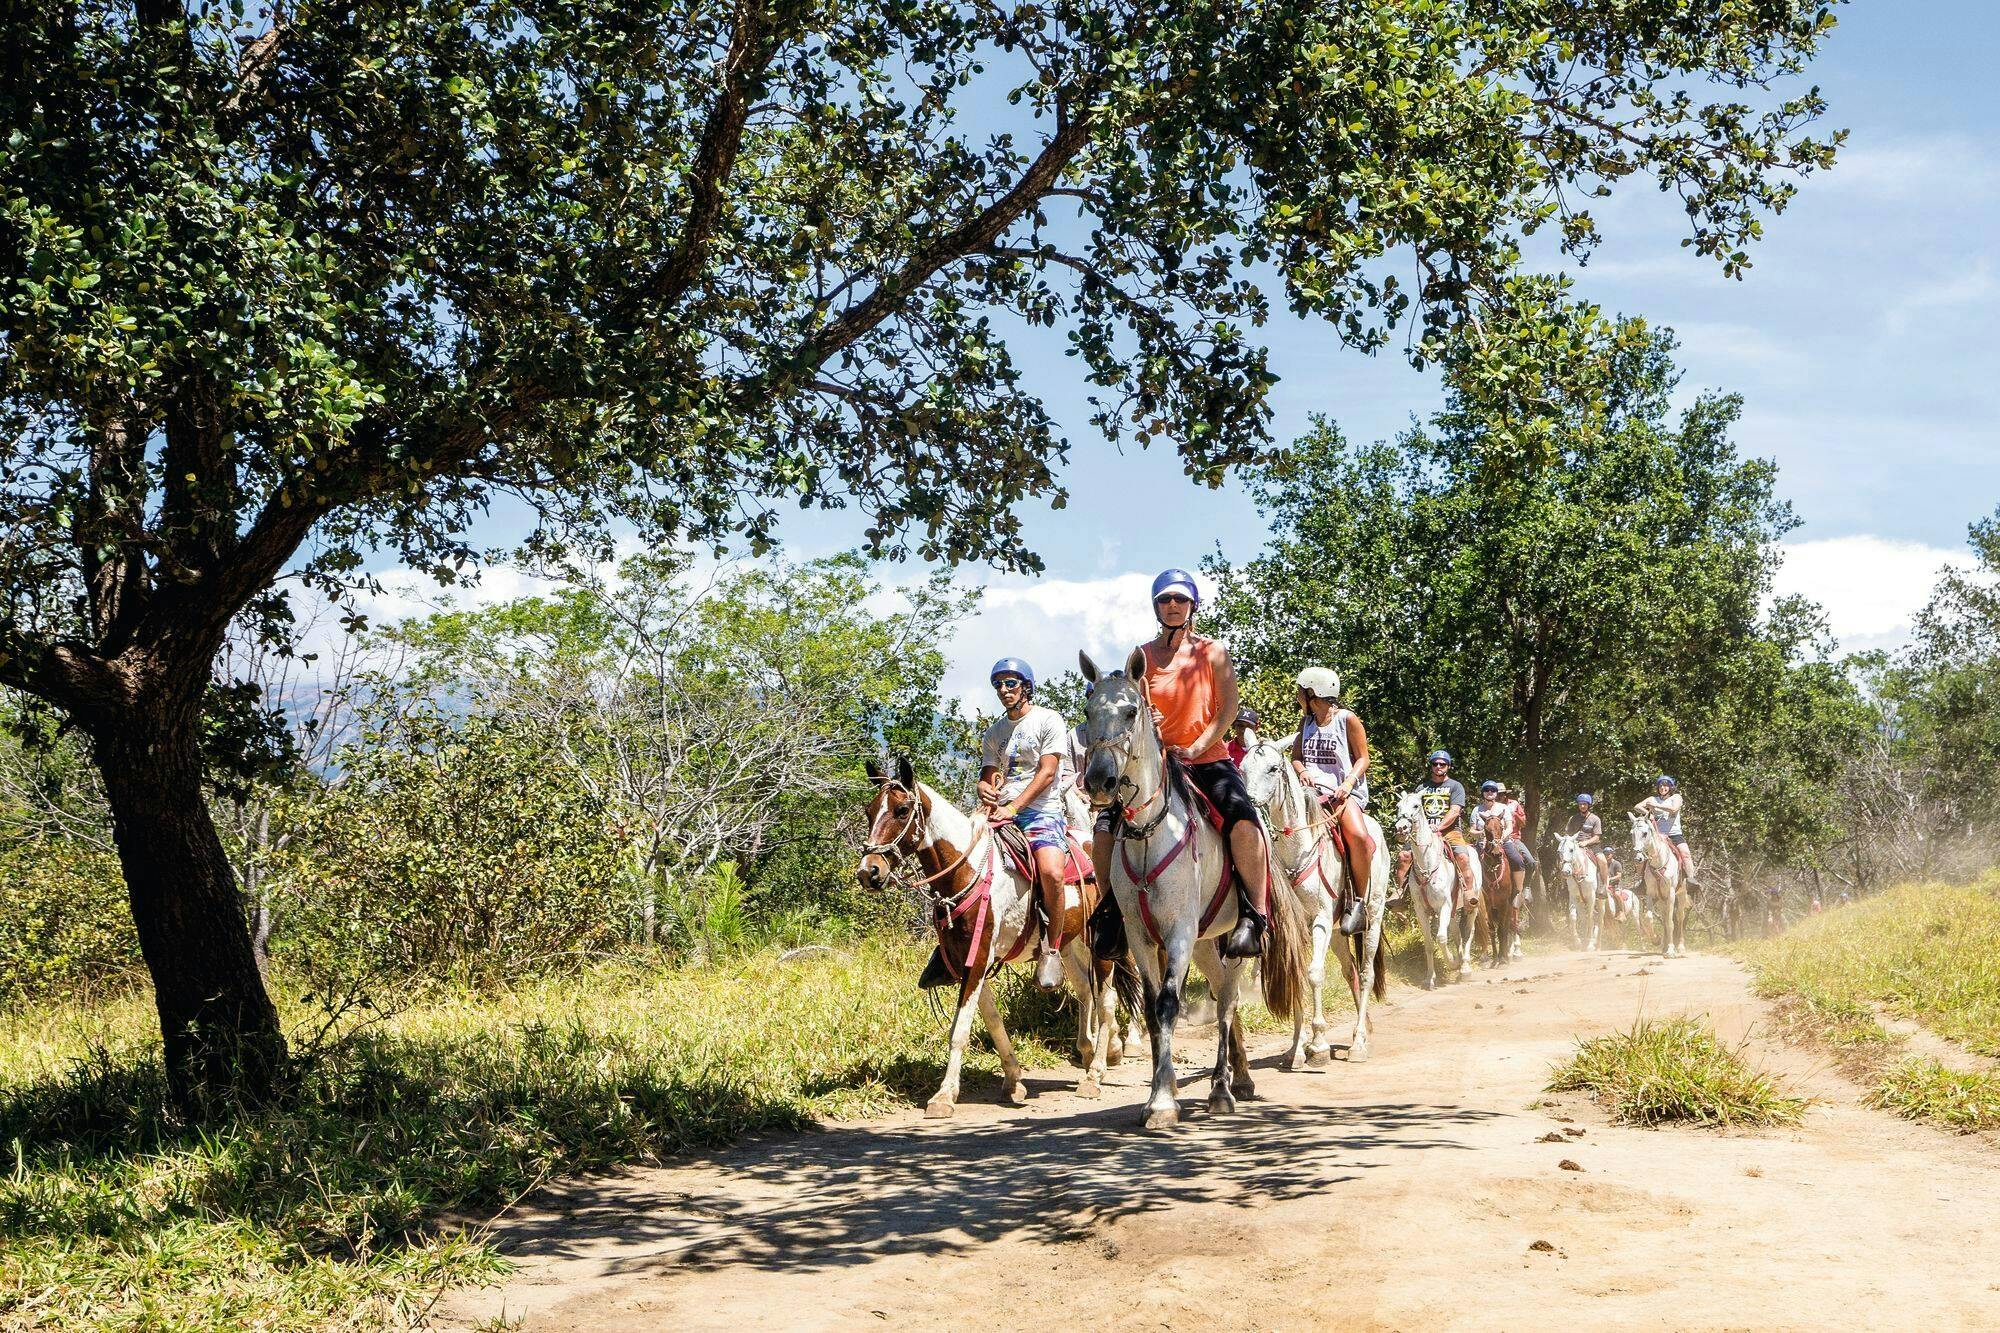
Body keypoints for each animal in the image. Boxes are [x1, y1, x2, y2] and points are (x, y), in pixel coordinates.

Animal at [852, 756, 1128, 1112]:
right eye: (870, 811)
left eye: (901, 810)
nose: (868, 872)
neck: (967, 870)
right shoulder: (966, 961)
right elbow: (993, 1021)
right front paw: (1013, 1081)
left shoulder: (980, 955)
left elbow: (960, 1030)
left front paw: (944, 1095)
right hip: (1067, 942)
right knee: (1083, 989)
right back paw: (1089, 1051)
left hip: (1099, 942)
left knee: (1107, 1000)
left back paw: (1096, 1073)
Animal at [1080, 652, 1312, 1120]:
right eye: (1088, 712)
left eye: (1130, 711)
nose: (1099, 782)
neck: (1150, 831)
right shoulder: (1141, 937)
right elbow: (1154, 1011)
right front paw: (1160, 1088)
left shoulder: (1179, 932)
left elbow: (1169, 1004)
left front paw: (1162, 1103)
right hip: (1206, 943)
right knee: (1223, 992)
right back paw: (1238, 1077)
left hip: (1230, 940)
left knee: (1227, 999)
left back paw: (1223, 1088)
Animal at [1232, 728, 1392, 1056]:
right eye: (1242, 769)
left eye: (1273, 769)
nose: (1249, 807)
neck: (1296, 851)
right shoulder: (1295, 926)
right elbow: (1297, 976)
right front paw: (1296, 1048)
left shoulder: (1319, 920)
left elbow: (1314, 973)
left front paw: (1318, 1043)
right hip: (1337, 932)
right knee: (1350, 969)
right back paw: (1362, 1029)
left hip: (1372, 916)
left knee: (1366, 973)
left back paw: (1359, 1041)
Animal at [1392, 788, 1472, 984]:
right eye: (1398, 806)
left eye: (1416, 805)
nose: (1401, 828)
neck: (1427, 866)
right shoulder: (1422, 909)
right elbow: (1429, 943)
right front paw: (1430, 977)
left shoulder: (1443, 906)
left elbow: (1441, 938)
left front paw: (1452, 963)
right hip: (1453, 911)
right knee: (1457, 934)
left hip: (1470, 908)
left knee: (1468, 932)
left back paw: (1464, 968)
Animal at [1624, 808, 1688, 956]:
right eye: (1631, 834)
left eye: (1645, 833)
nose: (1638, 858)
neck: (1659, 862)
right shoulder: (1651, 894)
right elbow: (1649, 918)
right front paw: (1656, 940)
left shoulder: (1671, 894)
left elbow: (1670, 922)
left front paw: (1671, 950)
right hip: (1661, 900)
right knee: (1664, 918)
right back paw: (1663, 945)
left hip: (1681, 894)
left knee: (1680, 917)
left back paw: (1680, 947)